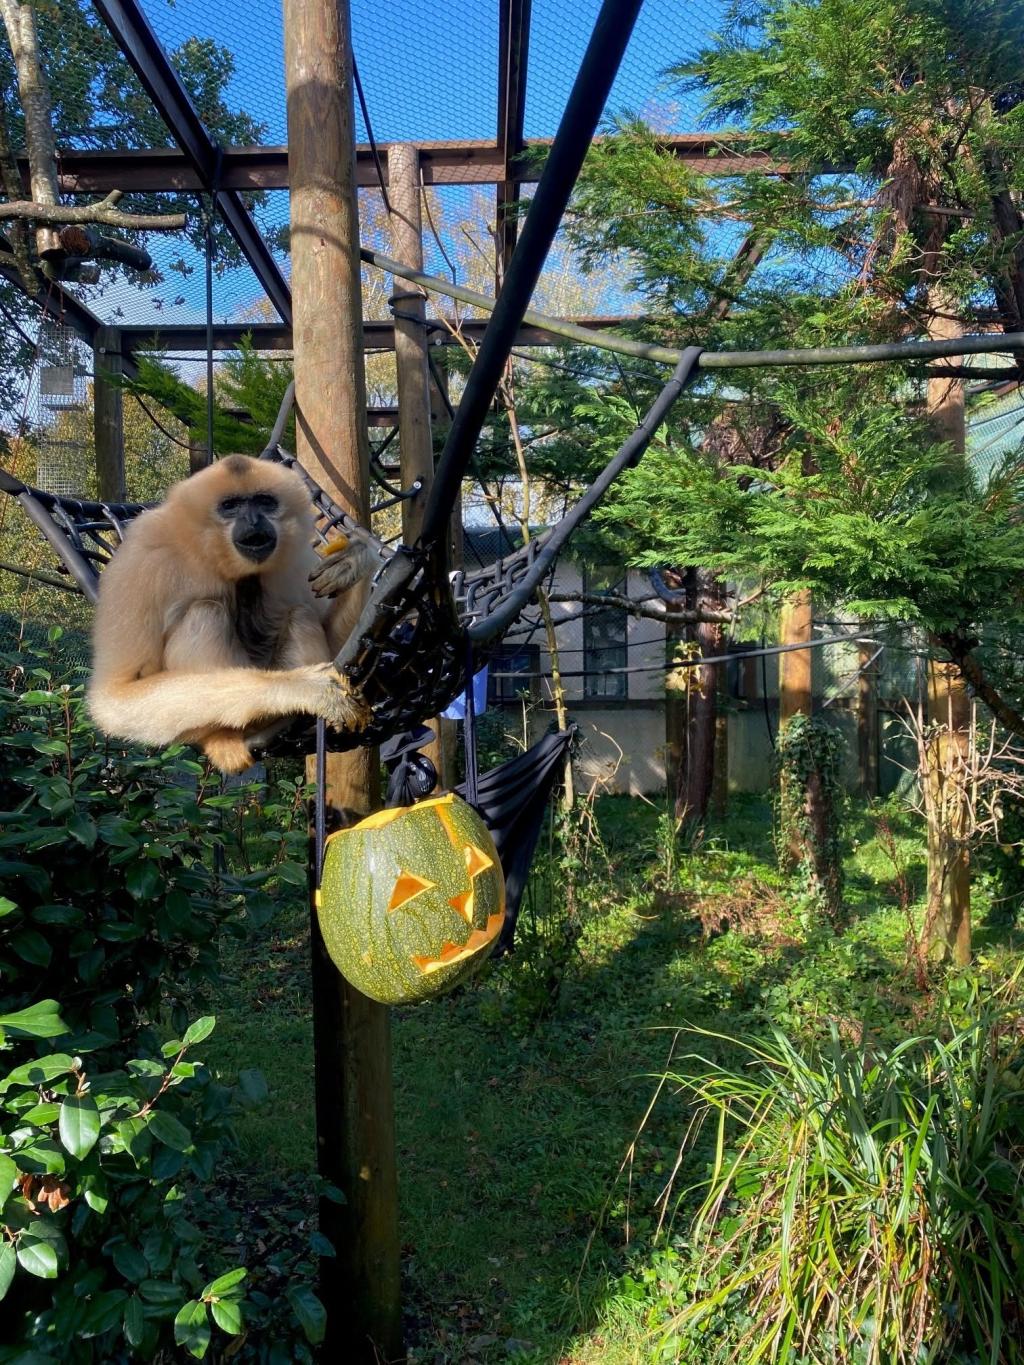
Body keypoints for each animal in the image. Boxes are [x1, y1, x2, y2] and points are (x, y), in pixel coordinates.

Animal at [88, 454, 377, 774]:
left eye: (264, 502)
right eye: (231, 506)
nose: (253, 520)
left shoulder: (299, 558)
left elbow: (341, 656)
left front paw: (355, 559)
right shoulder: (142, 556)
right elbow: (116, 696)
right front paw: (301, 688)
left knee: (300, 615)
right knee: (205, 611)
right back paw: (224, 736)